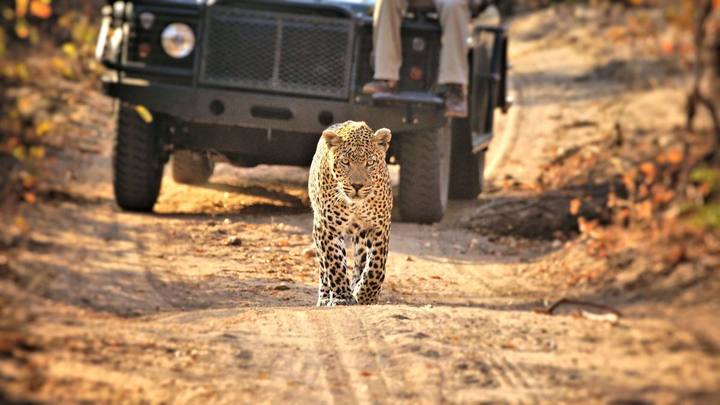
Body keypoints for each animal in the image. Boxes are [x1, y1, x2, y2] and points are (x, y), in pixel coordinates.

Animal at [308, 121, 393, 306]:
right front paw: (342, 296)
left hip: (361, 236)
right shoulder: (327, 227)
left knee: (360, 261)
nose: (357, 185)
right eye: (345, 162)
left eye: (370, 162)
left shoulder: (380, 227)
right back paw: (325, 297)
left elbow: (376, 266)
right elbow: (335, 263)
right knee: (324, 269)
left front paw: (365, 296)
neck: (356, 205)